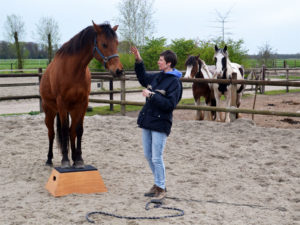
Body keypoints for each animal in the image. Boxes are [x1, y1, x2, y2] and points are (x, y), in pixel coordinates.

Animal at [39, 22, 123, 168]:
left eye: (116, 43)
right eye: (104, 44)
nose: (118, 70)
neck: (73, 70)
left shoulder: (83, 103)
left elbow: (78, 130)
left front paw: (78, 159)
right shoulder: (62, 103)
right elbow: (64, 130)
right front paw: (65, 160)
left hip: (72, 109)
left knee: (72, 131)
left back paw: (73, 156)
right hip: (50, 110)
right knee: (51, 133)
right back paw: (49, 159)